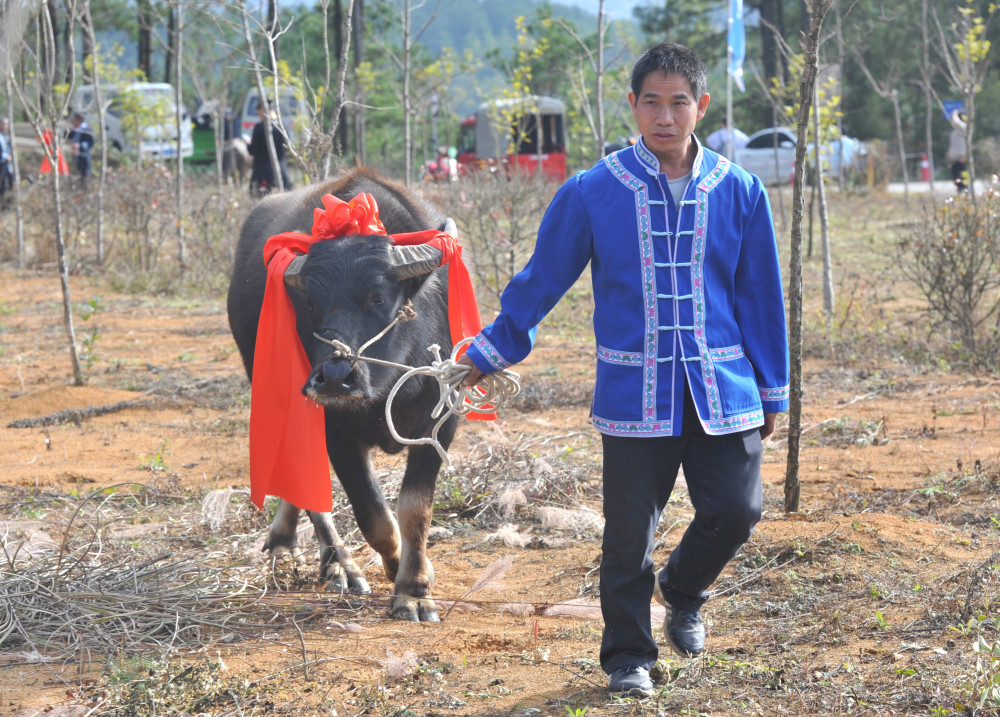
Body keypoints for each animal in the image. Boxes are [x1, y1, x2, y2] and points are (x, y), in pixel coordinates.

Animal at [227, 169, 460, 620]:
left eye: (378, 296)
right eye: (310, 304)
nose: (335, 377)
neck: (385, 388)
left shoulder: (441, 421)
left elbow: (414, 509)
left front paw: (415, 586)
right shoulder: (333, 428)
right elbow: (375, 517)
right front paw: (396, 569)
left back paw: (285, 538)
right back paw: (338, 565)